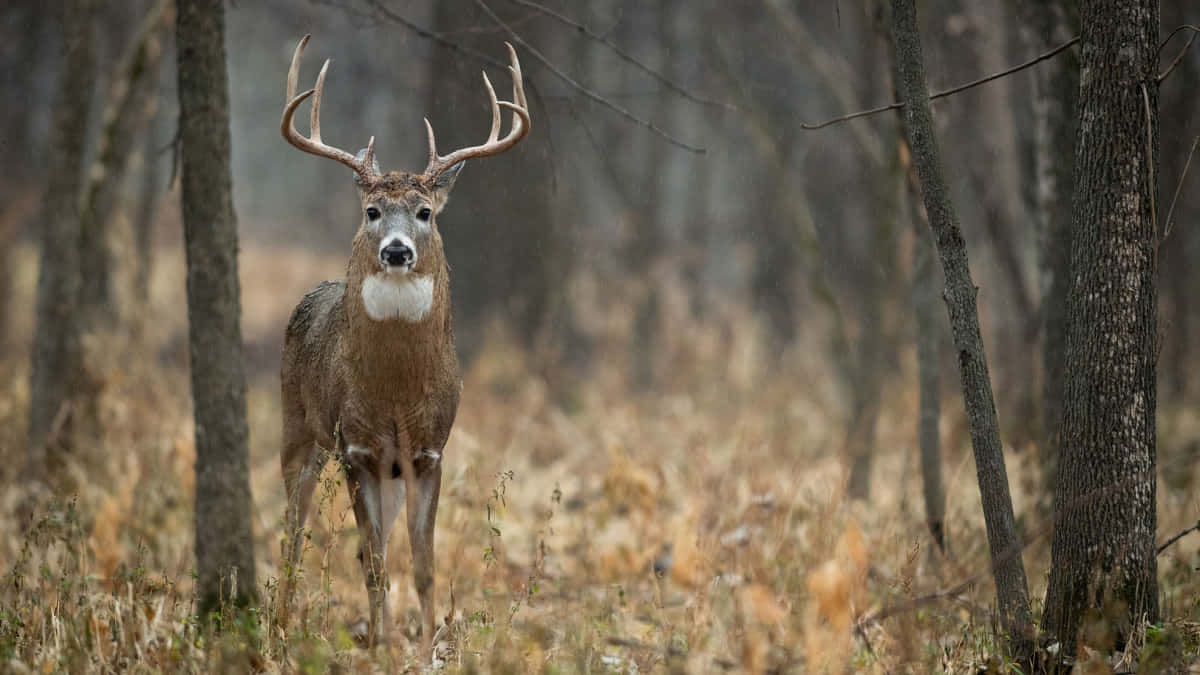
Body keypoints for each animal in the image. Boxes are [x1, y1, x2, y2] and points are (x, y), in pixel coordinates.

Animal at [275, 35, 529, 656]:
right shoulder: (357, 448)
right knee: (292, 528)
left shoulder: (427, 451)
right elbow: (373, 564)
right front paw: (385, 647)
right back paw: (282, 625)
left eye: (424, 211)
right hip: (299, 425)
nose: (396, 250)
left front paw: (425, 646)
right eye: (371, 210)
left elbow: (422, 563)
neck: (394, 393)